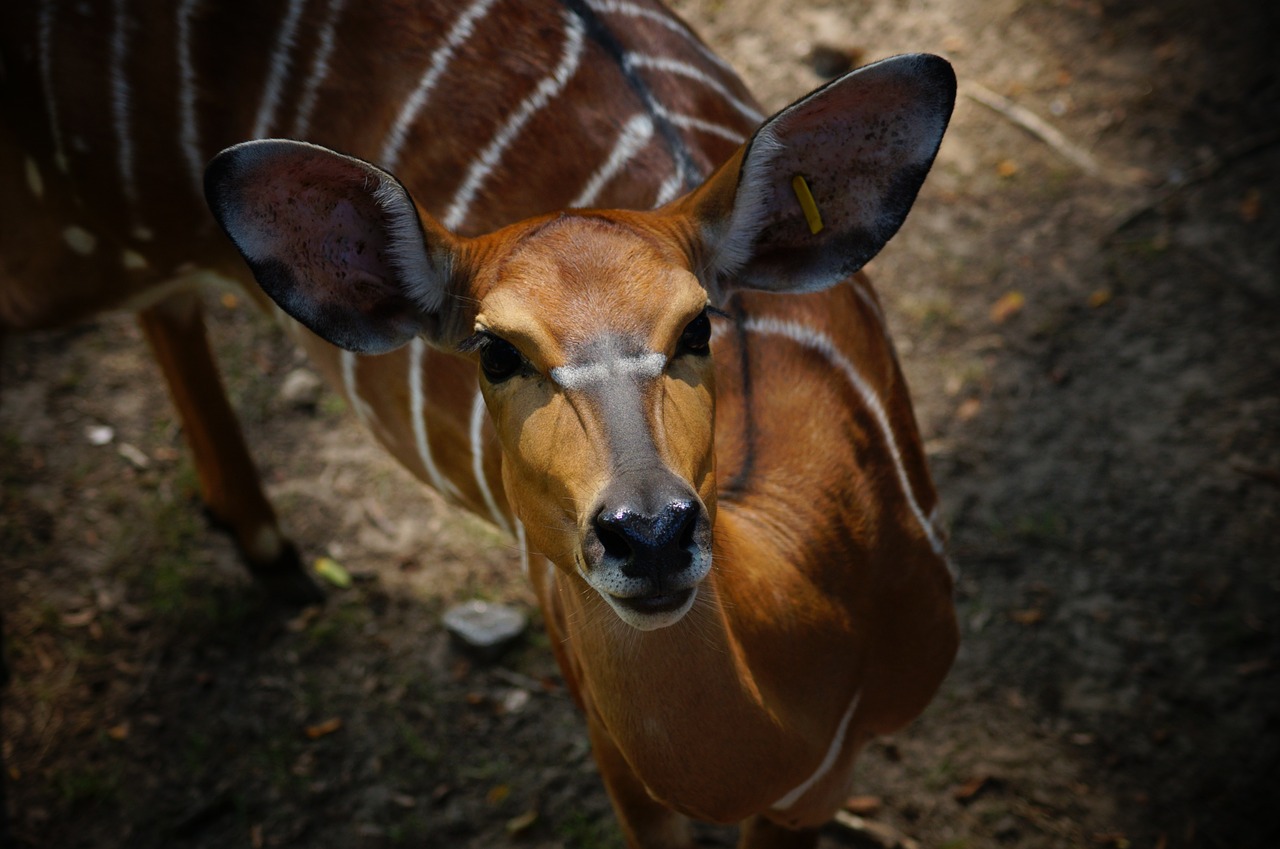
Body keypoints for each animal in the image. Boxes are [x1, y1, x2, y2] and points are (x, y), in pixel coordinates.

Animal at [0, 0, 957, 845]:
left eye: (697, 326)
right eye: (496, 352)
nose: (649, 532)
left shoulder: (816, 792)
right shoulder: (616, 757)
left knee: (166, 306)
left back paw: (268, 550)